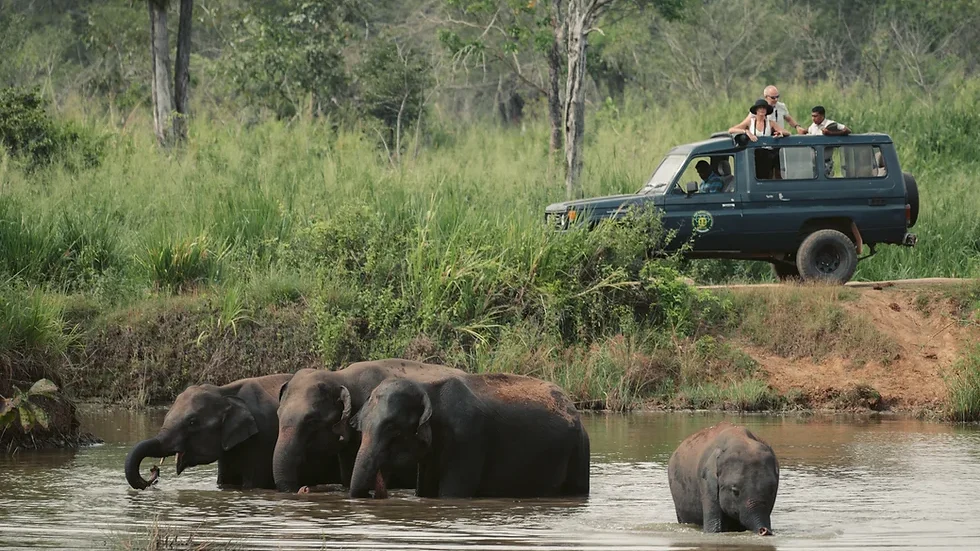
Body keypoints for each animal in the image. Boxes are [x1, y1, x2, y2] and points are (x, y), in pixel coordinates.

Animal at [124, 376, 332, 492]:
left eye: (192, 422)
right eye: (166, 415)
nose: (153, 471)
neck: (223, 391)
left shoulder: (263, 438)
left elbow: (252, 484)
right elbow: (225, 482)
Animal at [348, 374, 588, 498]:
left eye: (394, 430)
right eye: (360, 429)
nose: (377, 492)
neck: (427, 387)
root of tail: (572, 405)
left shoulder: (468, 438)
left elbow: (452, 494)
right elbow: (424, 491)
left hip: (579, 449)